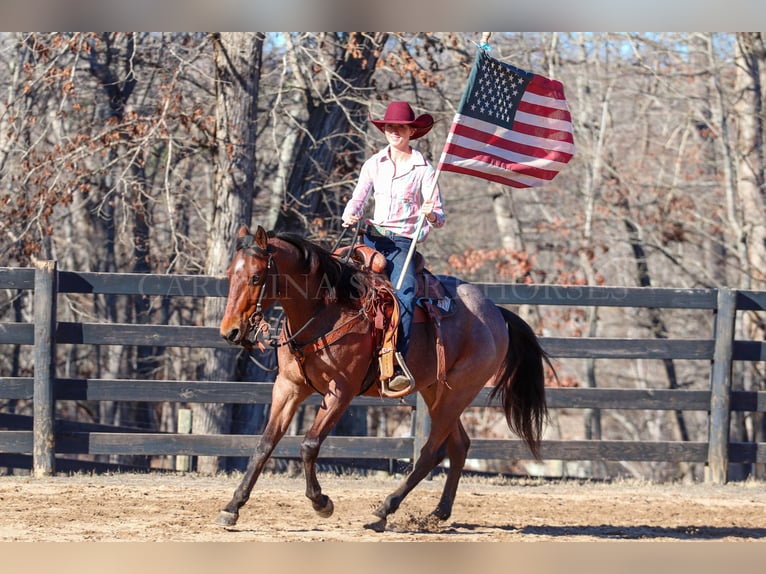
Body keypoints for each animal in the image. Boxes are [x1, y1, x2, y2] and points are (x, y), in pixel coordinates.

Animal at [216, 226, 552, 536]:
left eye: (256, 278)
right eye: (230, 274)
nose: (230, 331)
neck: (327, 309)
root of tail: (496, 312)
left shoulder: (341, 392)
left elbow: (309, 445)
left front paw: (322, 502)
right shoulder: (288, 386)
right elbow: (264, 445)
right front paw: (232, 507)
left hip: (458, 393)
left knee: (430, 453)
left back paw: (384, 510)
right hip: (437, 391)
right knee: (458, 445)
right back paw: (438, 513)